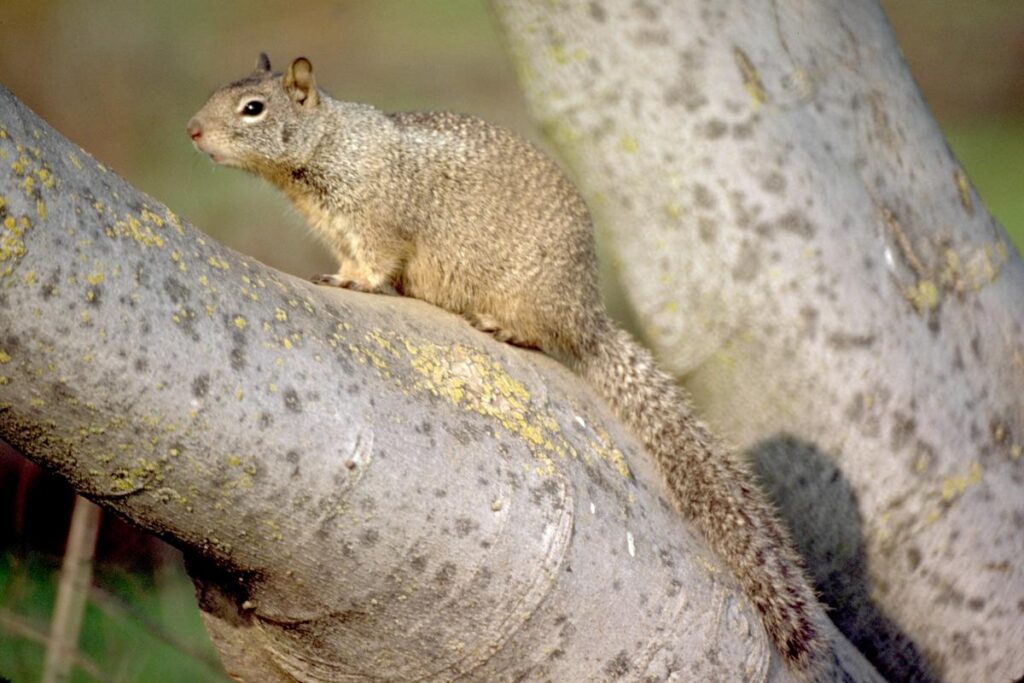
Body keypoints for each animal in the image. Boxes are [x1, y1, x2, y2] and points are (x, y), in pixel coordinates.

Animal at [188, 53, 831, 679]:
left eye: (253, 108)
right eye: (222, 91)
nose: (192, 131)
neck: (331, 143)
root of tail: (586, 316)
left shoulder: (376, 219)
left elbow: (375, 260)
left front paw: (356, 283)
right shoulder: (339, 229)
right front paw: (343, 277)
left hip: (530, 300)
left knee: (541, 336)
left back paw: (506, 328)